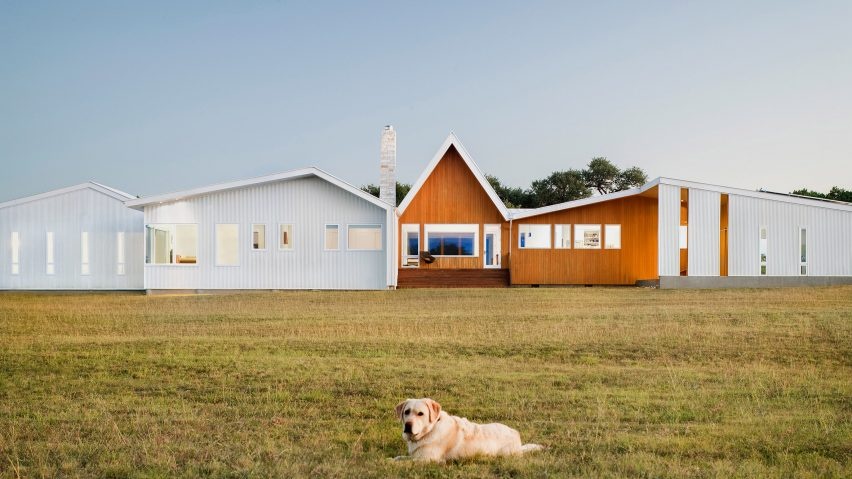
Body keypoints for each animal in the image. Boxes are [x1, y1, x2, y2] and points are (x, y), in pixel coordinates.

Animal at [394, 400, 544, 464]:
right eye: (407, 412)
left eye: (420, 414)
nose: (408, 425)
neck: (431, 429)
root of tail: (516, 434)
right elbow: (399, 457)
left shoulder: (426, 459)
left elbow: (400, 461)